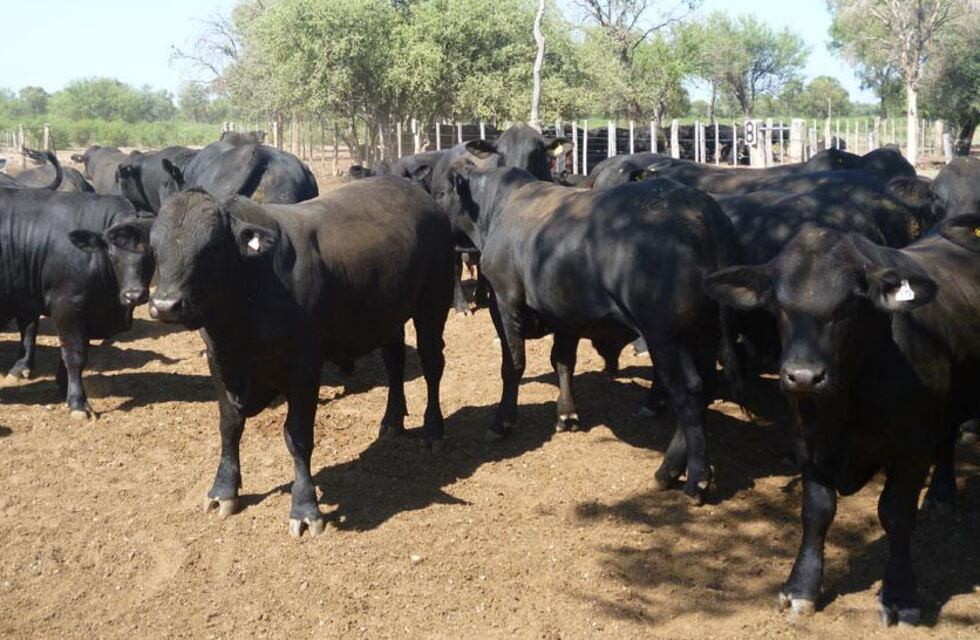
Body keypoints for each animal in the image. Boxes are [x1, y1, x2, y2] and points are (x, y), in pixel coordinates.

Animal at [0, 188, 153, 417]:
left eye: (152, 255)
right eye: (113, 256)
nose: (133, 295)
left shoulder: (87, 312)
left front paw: (64, 387)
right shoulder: (66, 307)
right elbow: (75, 355)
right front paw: (78, 402)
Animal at [146, 178, 454, 537]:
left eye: (211, 248)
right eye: (154, 246)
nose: (165, 306)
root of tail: (419, 193)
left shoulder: (304, 366)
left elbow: (298, 437)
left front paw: (305, 509)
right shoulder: (219, 361)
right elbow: (229, 426)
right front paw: (223, 491)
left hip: (433, 304)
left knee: (432, 364)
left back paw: (433, 431)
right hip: (388, 314)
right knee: (395, 362)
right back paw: (392, 421)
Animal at [436, 164, 742, 503]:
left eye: (441, 192)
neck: (499, 207)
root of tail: (703, 209)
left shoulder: (503, 300)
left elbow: (512, 365)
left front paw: (502, 423)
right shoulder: (564, 312)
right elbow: (563, 361)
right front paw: (566, 415)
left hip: (666, 335)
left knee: (688, 392)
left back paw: (693, 479)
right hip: (704, 333)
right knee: (702, 388)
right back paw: (668, 471)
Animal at [703, 223, 970, 626]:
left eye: (848, 306)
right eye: (779, 306)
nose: (803, 376)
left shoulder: (914, 445)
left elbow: (896, 514)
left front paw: (899, 593)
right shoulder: (809, 441)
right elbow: (816, 512)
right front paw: (801, 587)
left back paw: (942, 491)